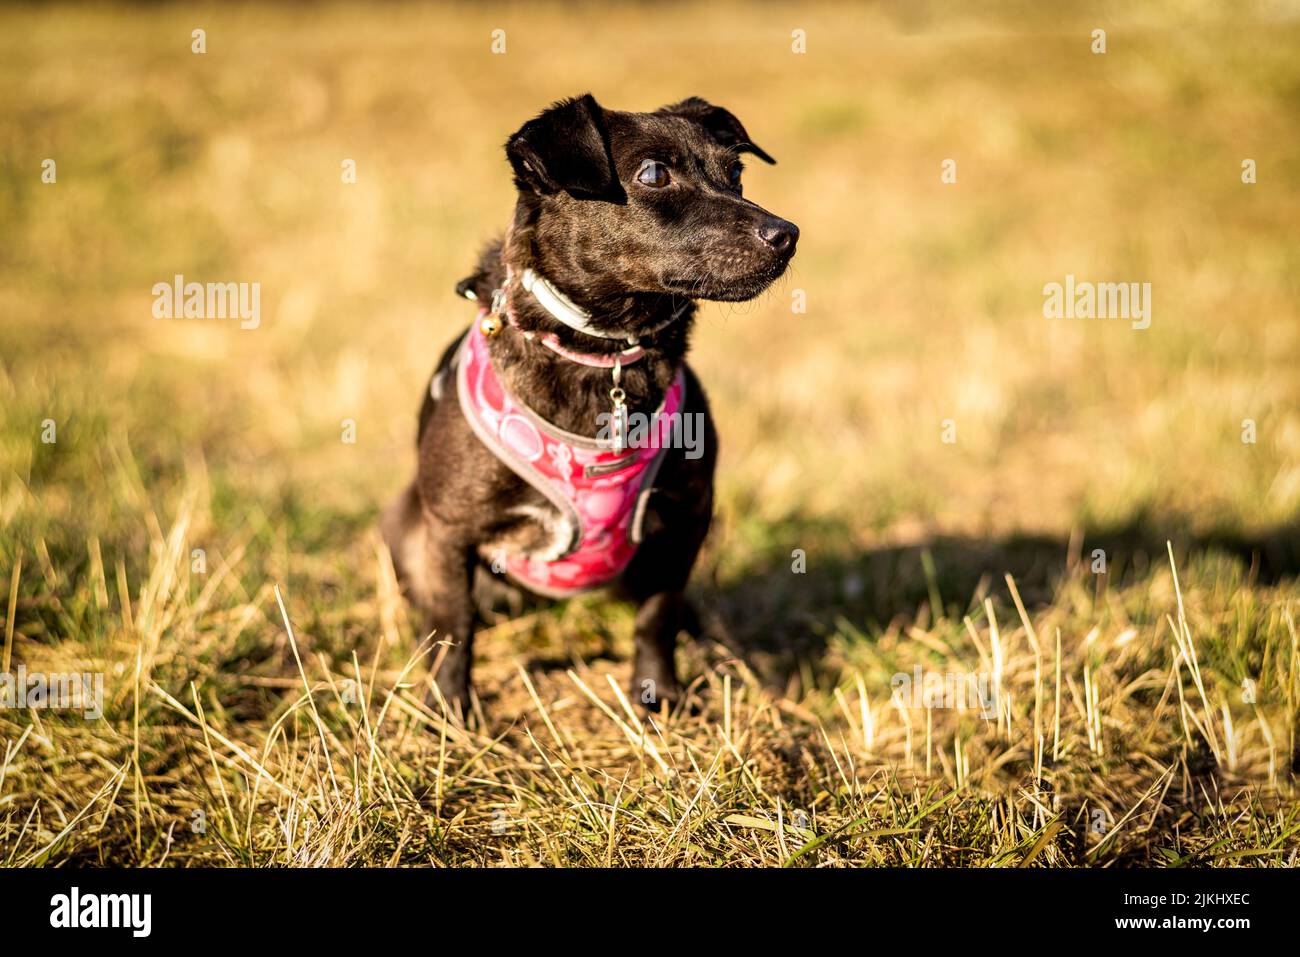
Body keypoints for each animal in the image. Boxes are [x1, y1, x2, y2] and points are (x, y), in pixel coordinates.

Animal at [379, 93, 795, 712]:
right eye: (653, 174)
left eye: (737, 174)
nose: (787, 232)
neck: (608, 352)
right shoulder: (451, 531)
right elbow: (455, 626)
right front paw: (450, 708)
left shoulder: (684, 523)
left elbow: (656, 617)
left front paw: (658, 693)